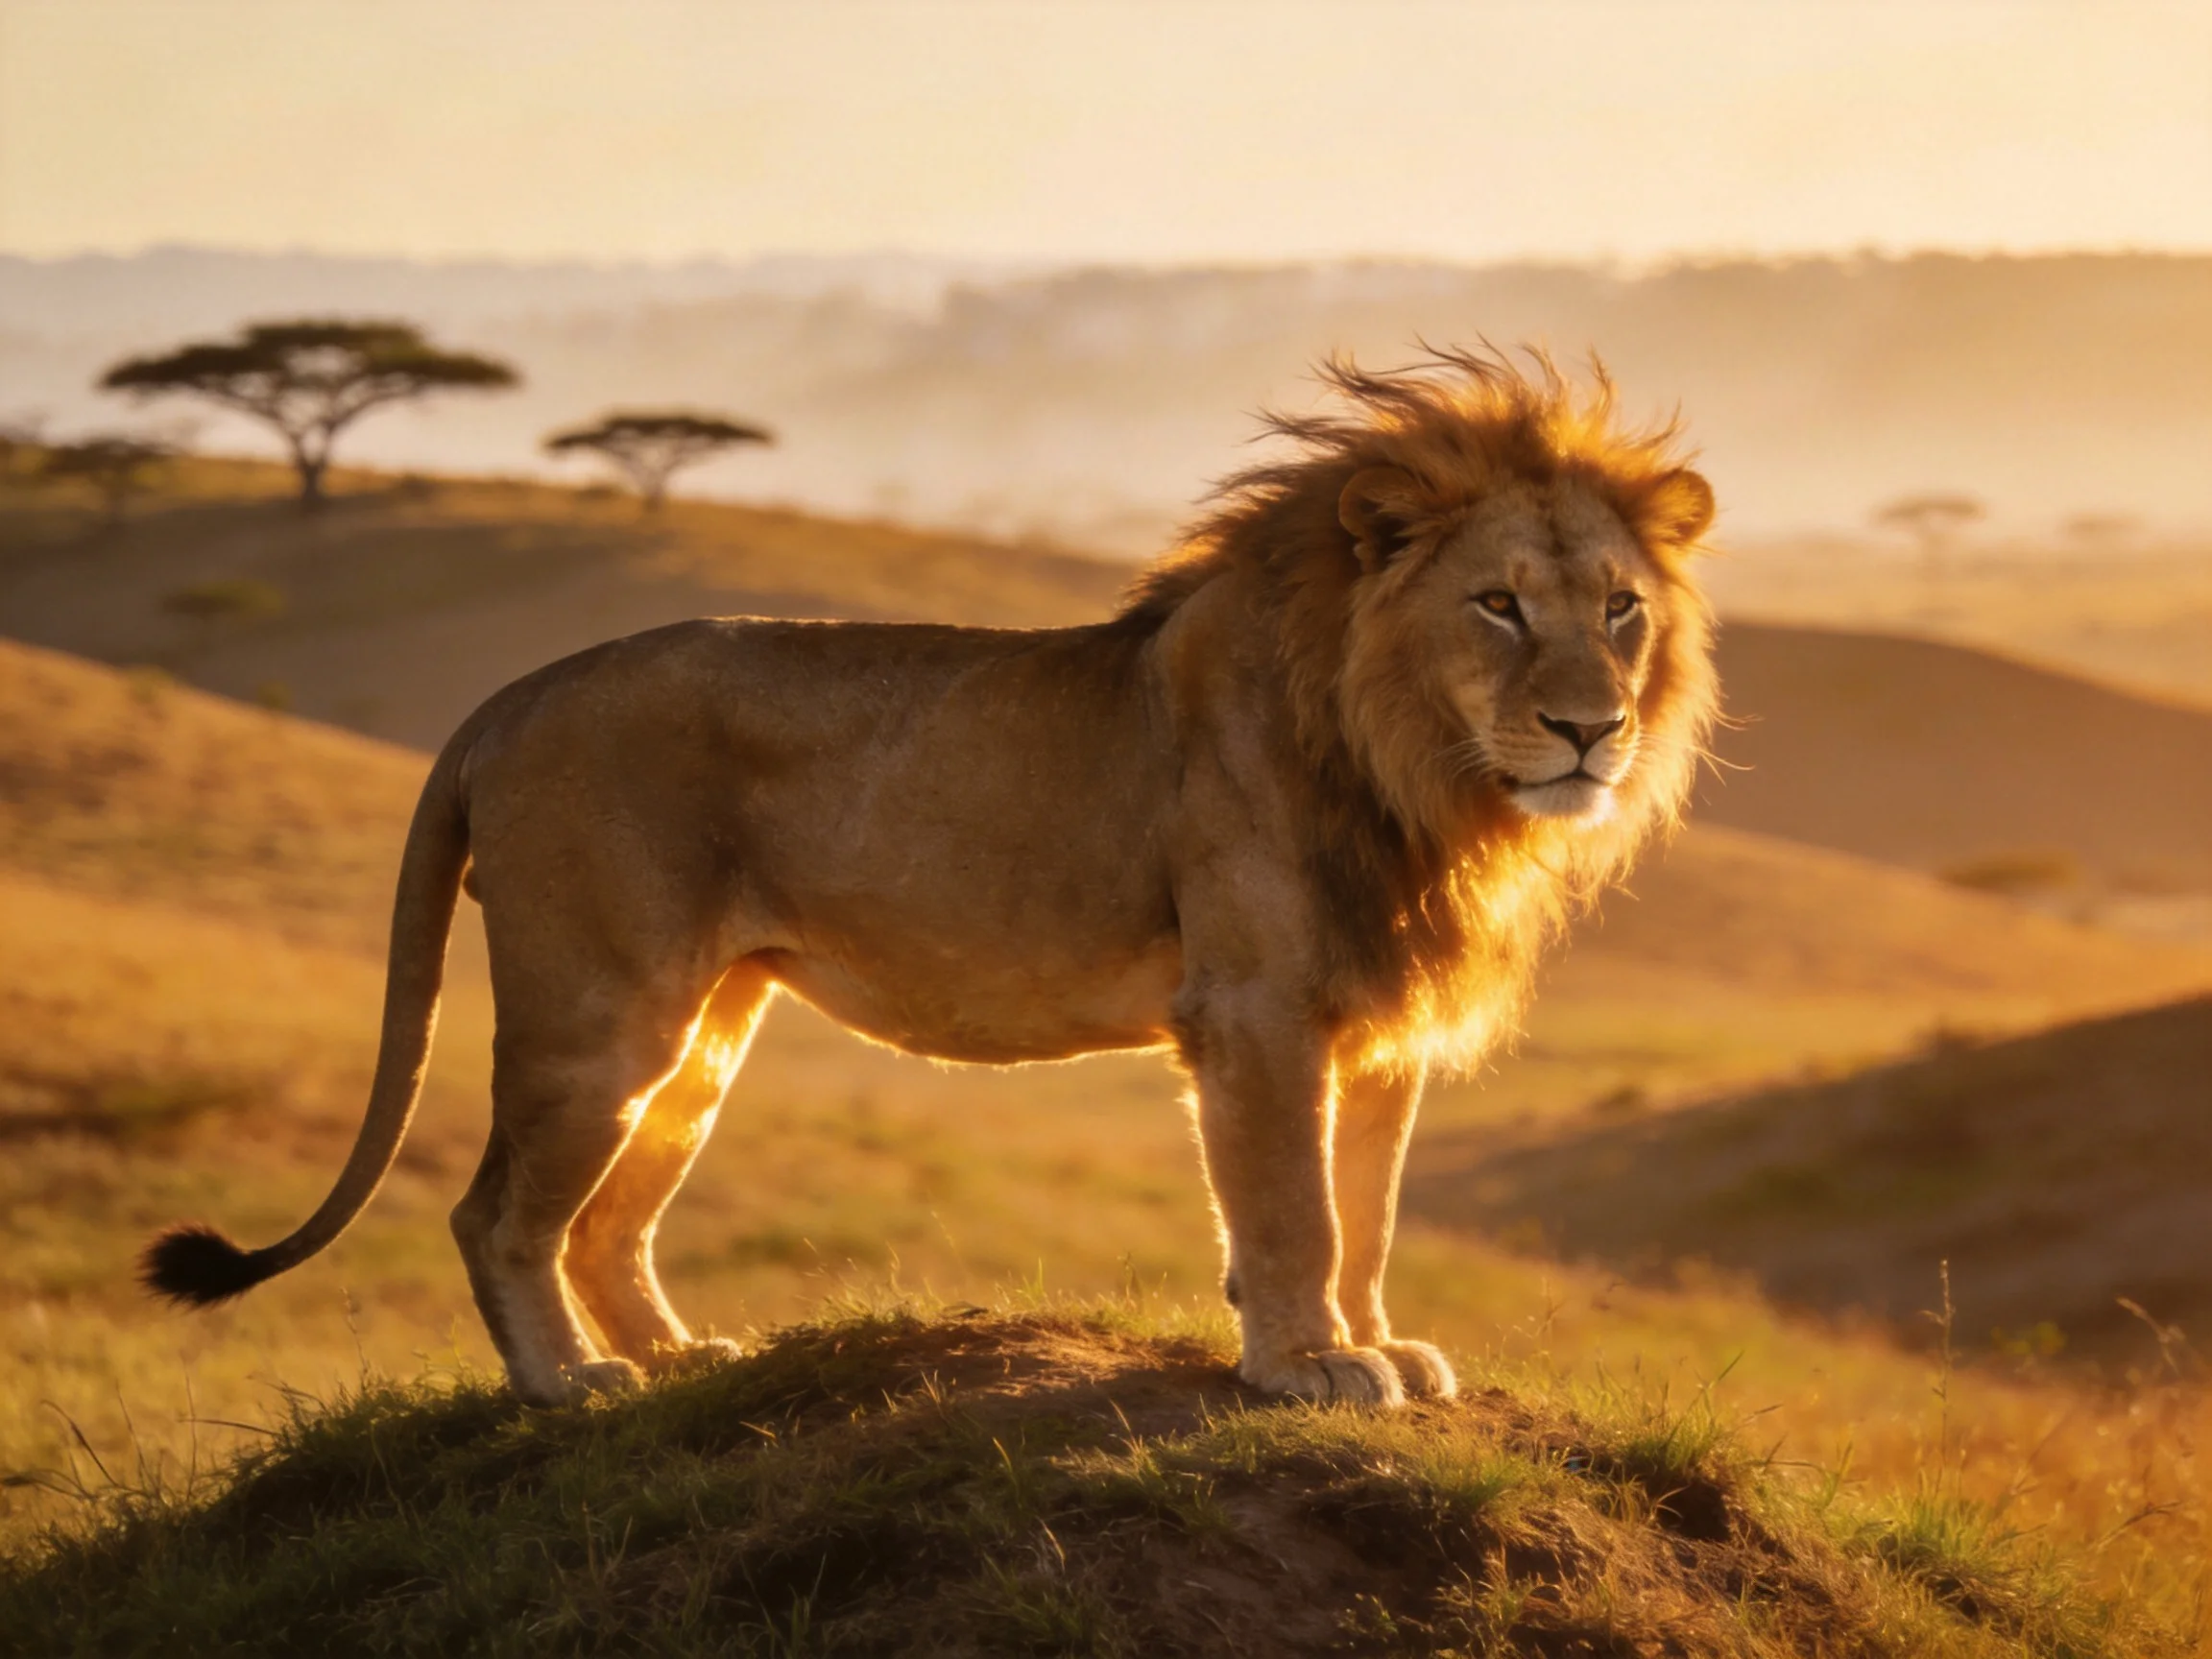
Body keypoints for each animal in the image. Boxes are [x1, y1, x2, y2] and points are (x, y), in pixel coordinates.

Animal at [143, 350, 1719, 1409]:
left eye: (1619, 610)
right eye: (1498, 604)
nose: (1591, 730)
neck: (1414, 771)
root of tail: (514, 695)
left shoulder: (1376, 1024)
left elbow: (1370, 1210)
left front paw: (1372, 1341)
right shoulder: (1258, 1010)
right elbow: (1292, 1207)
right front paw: (1306, 1365)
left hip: (708, 1030)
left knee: (607, 1221)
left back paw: (690, 1360)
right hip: (600, 1012)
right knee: (498, 1216)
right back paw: (570, 1387)